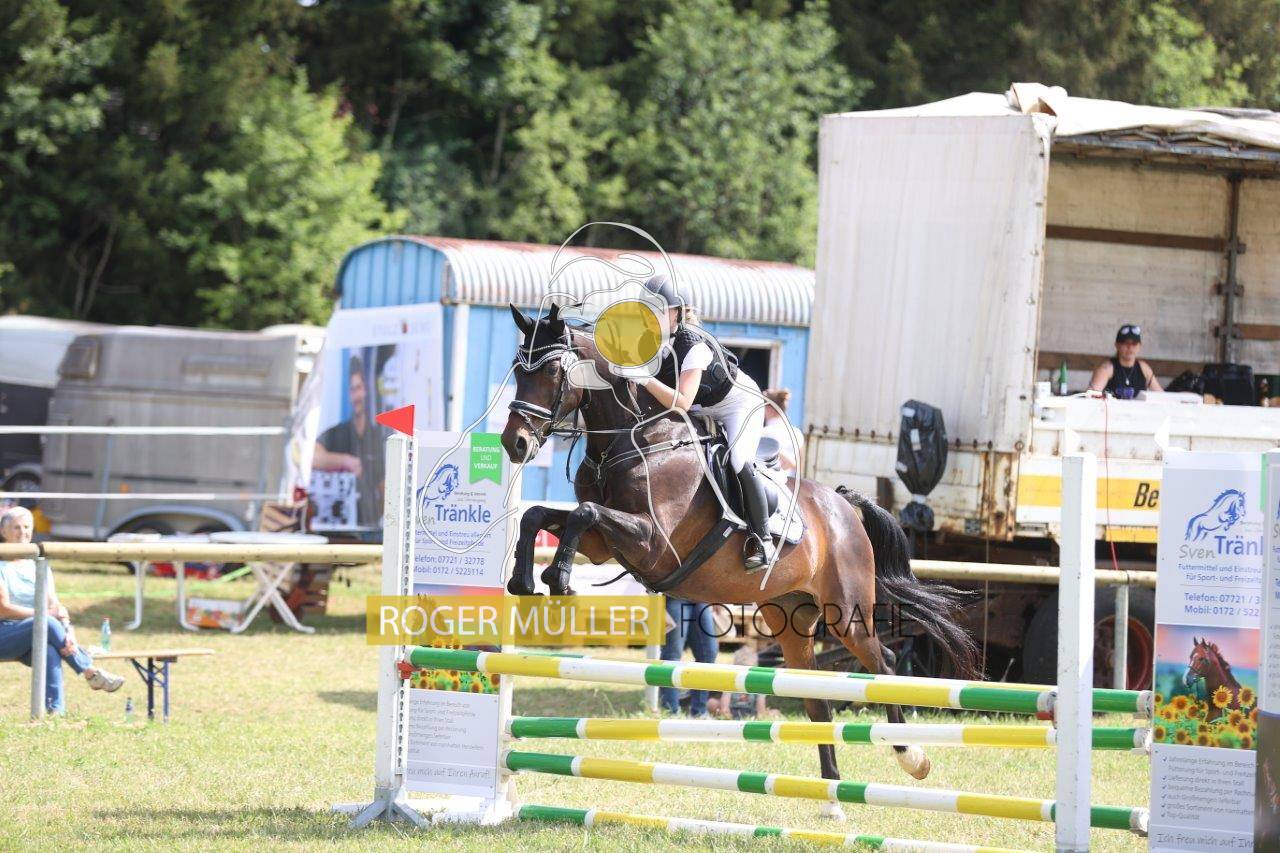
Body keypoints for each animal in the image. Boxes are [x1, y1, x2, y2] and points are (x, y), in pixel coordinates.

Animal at [499, 304, 977, 784]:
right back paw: (831, 790)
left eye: (552, 371)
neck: (635, 443)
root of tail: (844, 505)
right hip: (789, 614)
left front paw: (557, 576)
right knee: (816, 694)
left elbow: (583, 513)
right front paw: (524, 580)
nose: (513, 443)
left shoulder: (652, 542)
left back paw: (912, 756)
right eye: (518, 370)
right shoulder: (603, 546)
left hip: (847, 612)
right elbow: (541, 514)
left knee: (885, 664)